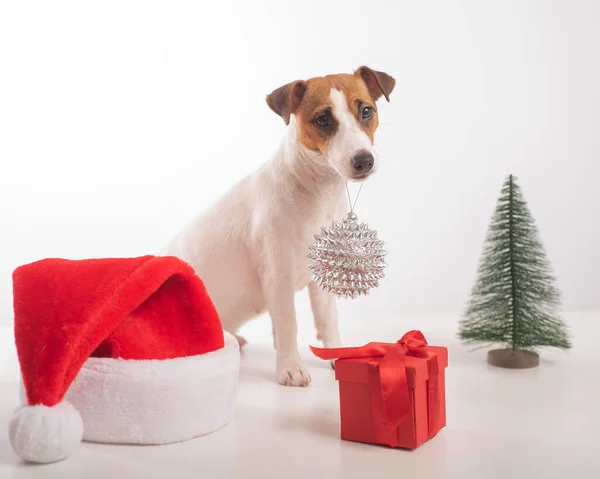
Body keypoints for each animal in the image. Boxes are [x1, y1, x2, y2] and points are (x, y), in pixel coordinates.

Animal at [166, 67, 396, 388]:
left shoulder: (321, 276)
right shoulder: (278, 279)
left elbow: (327, 319)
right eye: (322, 119)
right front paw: (291, 367)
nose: (364, 161)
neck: (318, 192)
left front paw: (336, 354)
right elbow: (288, 326)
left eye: (366, 111)